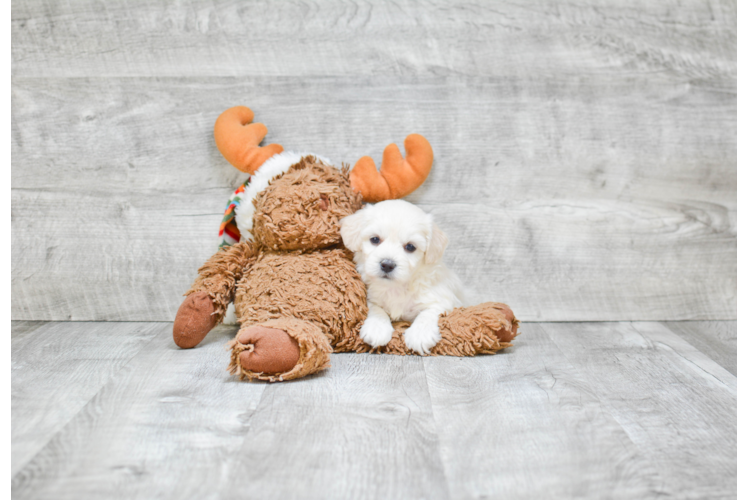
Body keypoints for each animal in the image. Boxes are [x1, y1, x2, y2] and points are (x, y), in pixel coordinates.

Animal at [342, 200, 464, 356]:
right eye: (375, 239)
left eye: (410, 247)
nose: (387, 264)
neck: (397, 287)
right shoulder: (370, 297)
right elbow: (376, 308)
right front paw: (377, 328)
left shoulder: (443, 300)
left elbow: (427, 312)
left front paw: (420, 334)